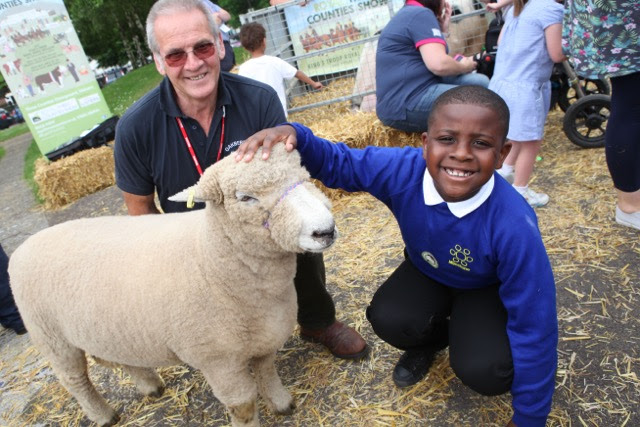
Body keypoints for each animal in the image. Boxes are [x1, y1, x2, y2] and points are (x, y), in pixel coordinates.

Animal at [7, 145, 338, 427]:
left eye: (303, 174)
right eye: (245, 197)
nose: (325, 230)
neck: (210, 259)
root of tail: (25, 246)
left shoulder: (266, 337)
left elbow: (268, 371)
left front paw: (282, 403)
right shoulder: (218, 360)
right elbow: (242, 406)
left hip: (105, 327)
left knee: (114, 357)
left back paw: (150, 386)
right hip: (51, 337)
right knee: (75, 379)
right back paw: (103, 415)